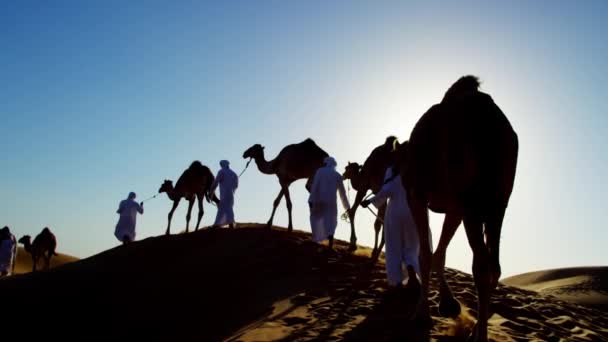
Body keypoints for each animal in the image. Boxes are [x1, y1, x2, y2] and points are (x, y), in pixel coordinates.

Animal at [396, 75, 520, 342]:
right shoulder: (454, 208)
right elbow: (438, 252)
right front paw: (447, 304)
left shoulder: (416, 195)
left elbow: (425, 253)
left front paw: (422, 315)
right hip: (498, 202)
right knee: (494, 266)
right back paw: (475, 330)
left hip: (472, 198)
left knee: (482, 265)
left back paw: (480, 335)